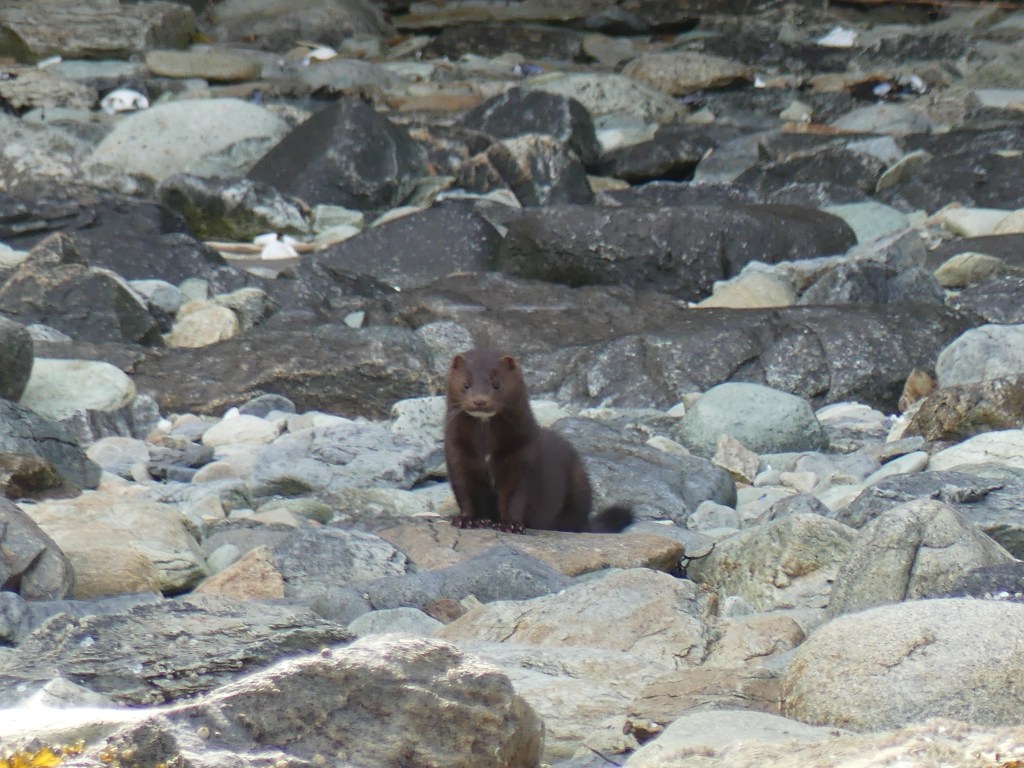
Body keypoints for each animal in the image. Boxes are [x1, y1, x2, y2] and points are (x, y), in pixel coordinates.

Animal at [444, 348, 632, 534]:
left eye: (496, 384)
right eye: (466, 384)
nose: (480, 401)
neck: (485, 449)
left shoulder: (522, 455)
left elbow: (515, 496)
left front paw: (510, 524)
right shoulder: (458, 455)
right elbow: (466, 494)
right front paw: (467, 520)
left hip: (578, 483)